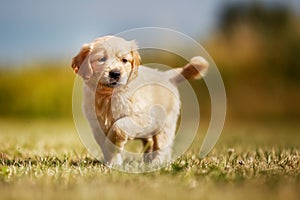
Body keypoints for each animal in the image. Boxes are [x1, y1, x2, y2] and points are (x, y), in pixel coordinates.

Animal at [72, 36, 209, 166]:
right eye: (101, 59)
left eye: (124, 60)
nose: (115, 73)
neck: (109, 95)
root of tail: (166, 75)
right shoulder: (96, 125)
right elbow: (104, 145)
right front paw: (113, 163)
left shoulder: (142, 117)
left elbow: (118, 126)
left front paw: (114, 147)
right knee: (150, 142)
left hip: (166, 124)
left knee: (162, 147)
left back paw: (156, 163)